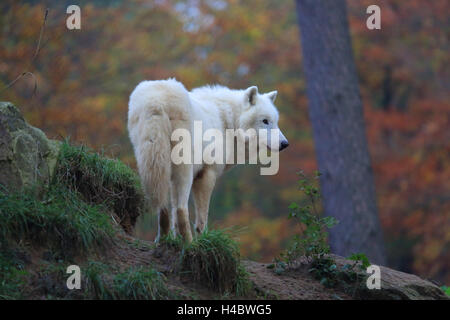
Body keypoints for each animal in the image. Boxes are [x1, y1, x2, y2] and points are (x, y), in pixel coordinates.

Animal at [126, 79, 288, 241]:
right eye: (265, 121)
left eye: (276, 122)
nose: (285, 144)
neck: (228, 122)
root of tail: (156, 101)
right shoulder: (207, 174)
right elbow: (201, 219)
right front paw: (203, 240)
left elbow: (174, 218)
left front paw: (175, 241)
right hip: (185, 170)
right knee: (181, 209)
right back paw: (190, 244)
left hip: (152, 166)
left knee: (163, 207)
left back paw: (162, 240)